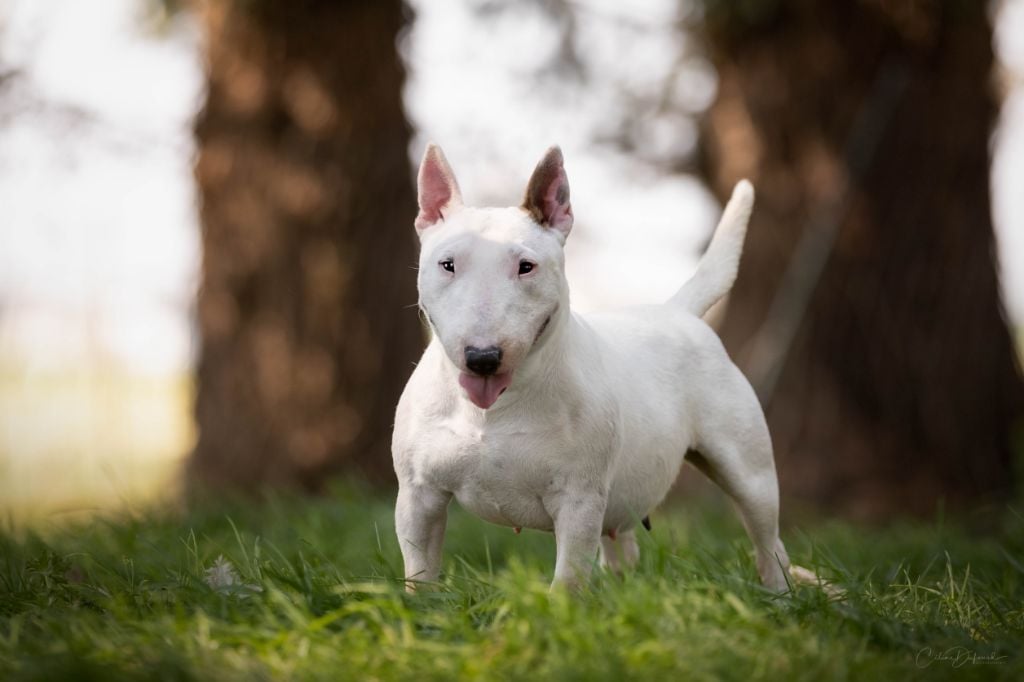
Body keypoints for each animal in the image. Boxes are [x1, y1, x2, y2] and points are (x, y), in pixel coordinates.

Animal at [391, 143, 790, 589]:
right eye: (448, 264)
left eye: (526, 266)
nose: (482, 358)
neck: (495, 408)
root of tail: (678, 311)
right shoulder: (418, 495)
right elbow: (420, 568)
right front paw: (420, 603)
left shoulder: (579, 500)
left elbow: (568, 575)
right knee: (622, 547)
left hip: (747, 470)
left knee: (767, 537)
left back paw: (781, 592)